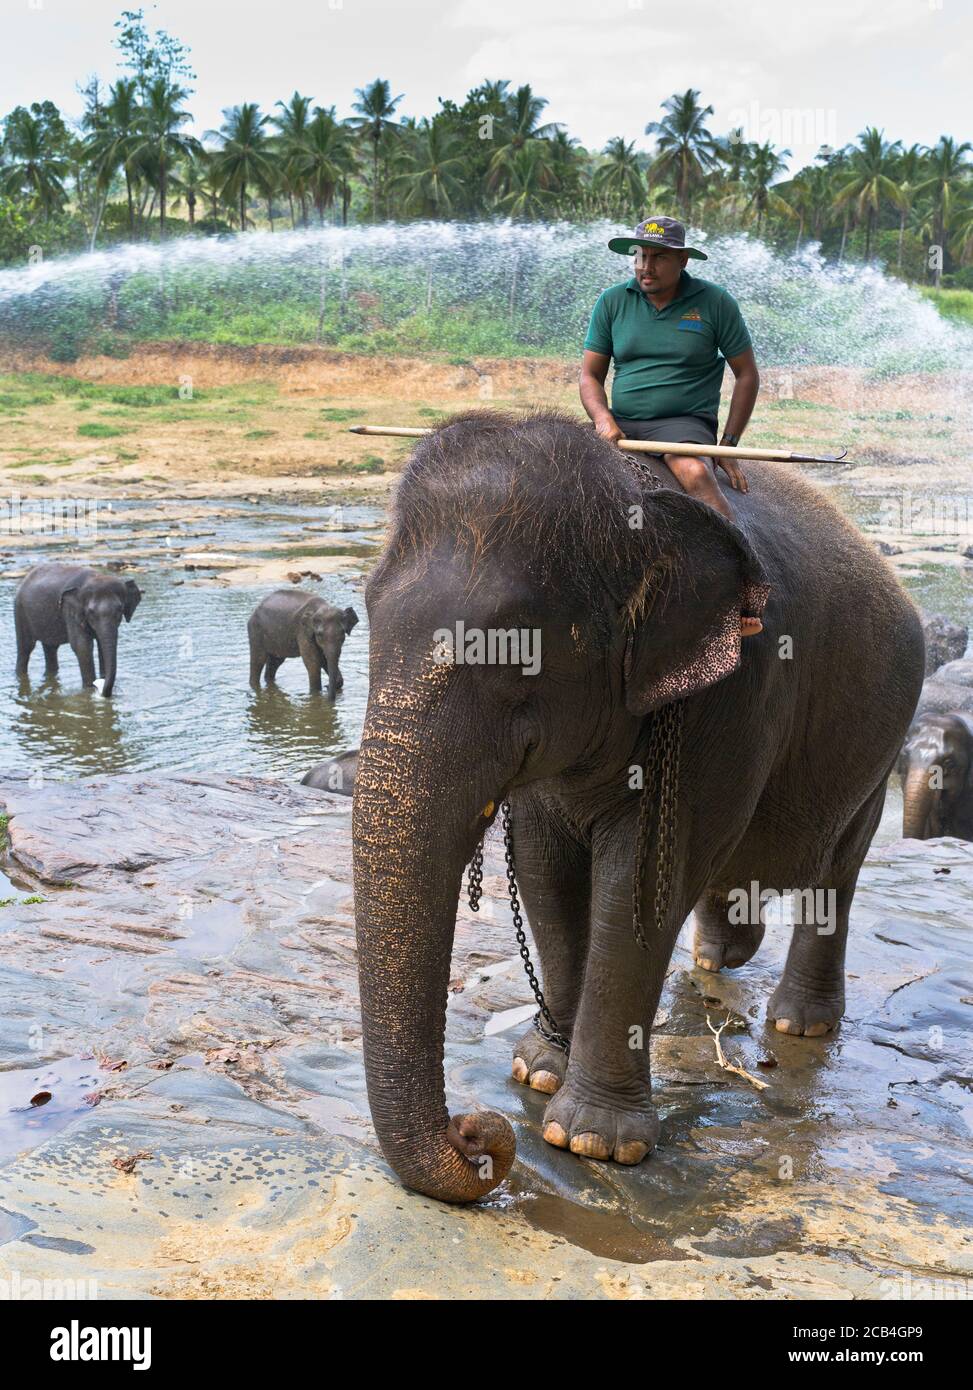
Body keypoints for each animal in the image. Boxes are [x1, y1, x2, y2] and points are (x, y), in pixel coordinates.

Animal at [14, 562, 142, 698]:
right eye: (91, 612)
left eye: (120, 609)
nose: (102, 690)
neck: (95, 576)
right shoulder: (70, 610)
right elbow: (82, 646)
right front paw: (89, 690)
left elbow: (101, 646)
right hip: (20, 611)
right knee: (25, 648)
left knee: (50, 648)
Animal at [352, 410, 925, 1204]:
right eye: (365, 611)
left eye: (513, 648)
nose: (479, 1135)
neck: (634, 504)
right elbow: (545, 870)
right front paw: (537, 1071)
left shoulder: (733, 697)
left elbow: (644, 882)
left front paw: (592, 1140)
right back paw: (720, 956)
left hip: (879, 749)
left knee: (836, 872)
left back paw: (799, 1026)